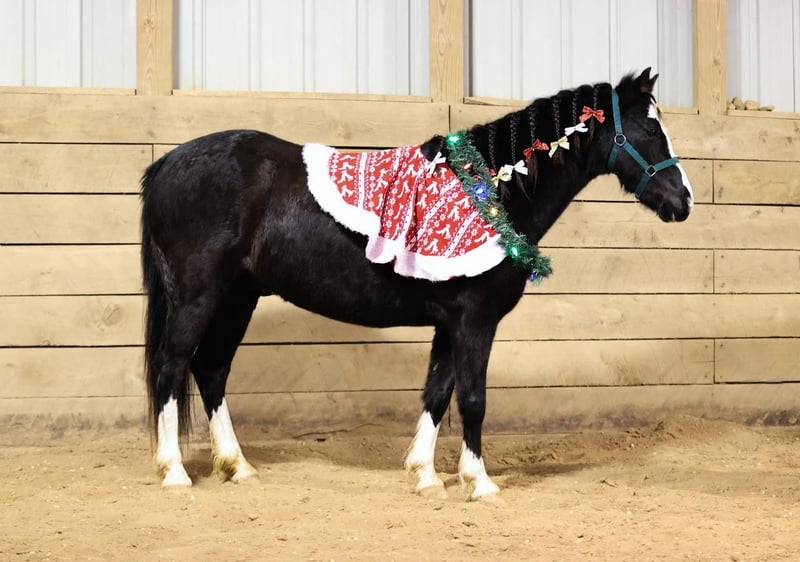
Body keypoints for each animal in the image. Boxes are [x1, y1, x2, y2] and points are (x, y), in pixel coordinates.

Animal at [140, 68, 693, 500]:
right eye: (649, 126)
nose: (683, 200)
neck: (490, 190)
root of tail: (165, 164)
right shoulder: (474, 321)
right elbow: (472, 397)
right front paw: (480, 482)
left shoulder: (449, 324)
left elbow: (437, 392)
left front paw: (425, 475)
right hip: (197, 297)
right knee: (172, 367)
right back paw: (174, 473)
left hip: (238, 299)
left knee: (211, 370)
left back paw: (238, 467)